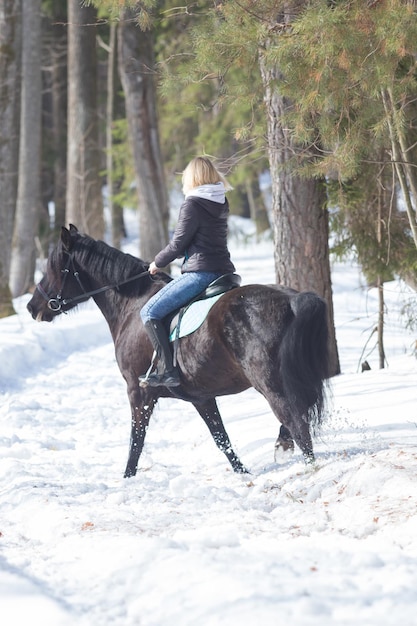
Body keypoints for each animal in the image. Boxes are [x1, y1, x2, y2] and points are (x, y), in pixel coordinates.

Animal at [27, 227, 330, 476]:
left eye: (55, 267)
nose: (32, 307)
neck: (132, 305)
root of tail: (292, 299)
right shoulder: (201, 397)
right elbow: (221, 438)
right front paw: (243, 473)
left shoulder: (138, 392)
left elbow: (136, 441)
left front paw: (127, 479)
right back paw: (284, 447)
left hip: (271, 384)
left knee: (297, 423)